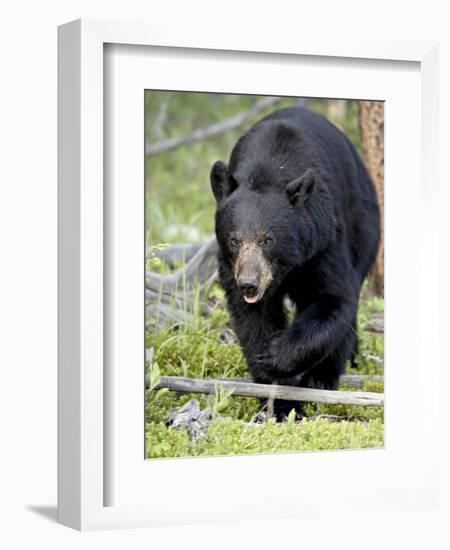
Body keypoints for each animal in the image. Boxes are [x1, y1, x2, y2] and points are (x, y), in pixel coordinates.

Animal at [211, 106, 380, 418]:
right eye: (234, 240)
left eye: (268, 239)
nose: (249, 284)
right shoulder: (231, 267)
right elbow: (252, 318)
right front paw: (278, 400)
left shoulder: (323, 241)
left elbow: (334, 299)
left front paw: (277, 356)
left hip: (364, 224)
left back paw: (323, 379)